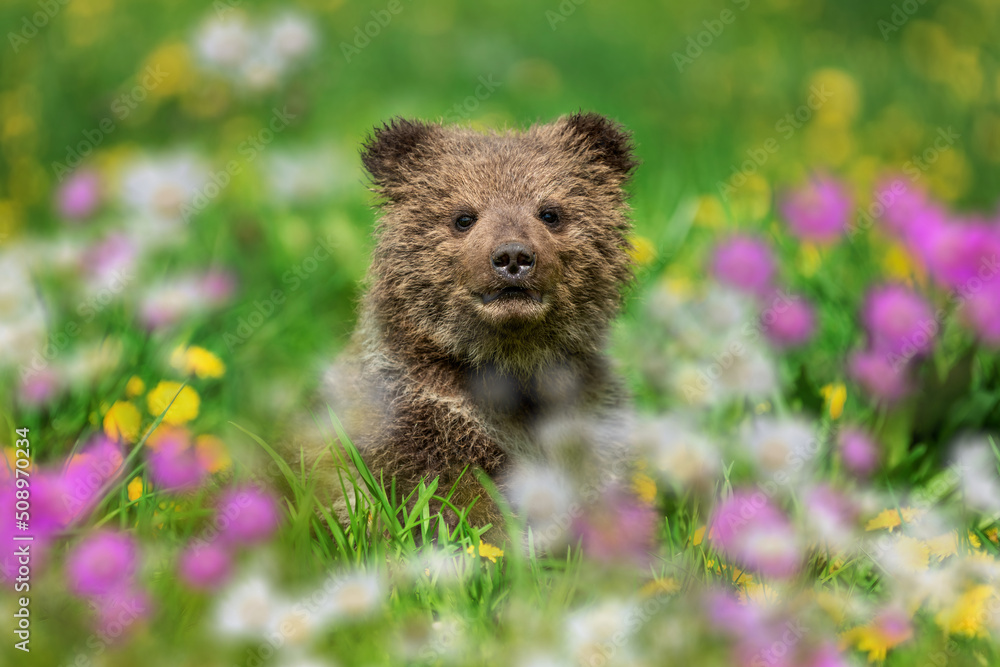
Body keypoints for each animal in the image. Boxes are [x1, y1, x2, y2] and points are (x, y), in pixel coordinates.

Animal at [290, 112, 639, 545]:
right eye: (463, 217)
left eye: (550, 212)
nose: (512, 256)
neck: (511, 367)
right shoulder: (419, 418)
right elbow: (454, 500)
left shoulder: (587, 412)